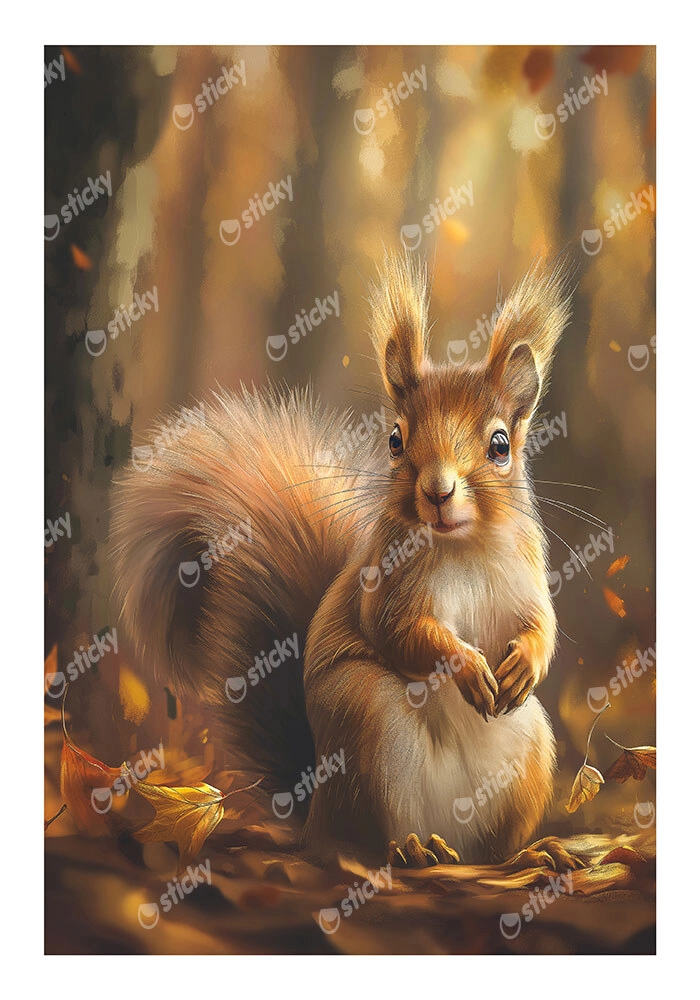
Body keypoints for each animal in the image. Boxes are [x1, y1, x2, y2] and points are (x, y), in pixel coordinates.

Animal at [112, 252, 575, 868]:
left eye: (501, 445)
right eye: (395, 440)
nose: (438, 491)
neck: (462, 545)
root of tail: (314, 814)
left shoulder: (527, 570)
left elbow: (541, 623)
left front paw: (524, 662)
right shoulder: (386, 581)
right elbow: (397, 630)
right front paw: (467, 666)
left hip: (529, 748)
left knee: (488, 853)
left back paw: (528, 855)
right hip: (366, 720)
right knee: (358, 844)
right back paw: (410, 850)